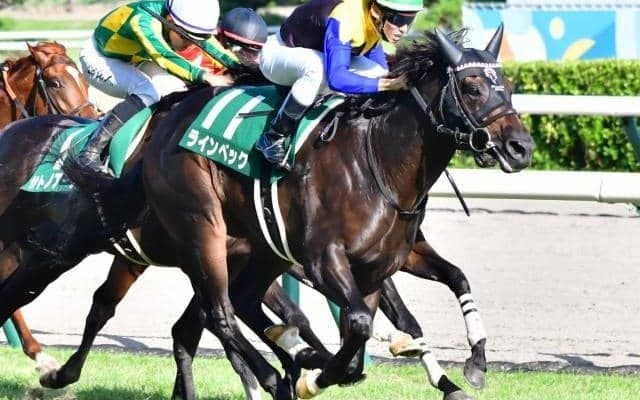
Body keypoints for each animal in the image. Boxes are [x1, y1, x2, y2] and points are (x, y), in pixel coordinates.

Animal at [136, 26, 533, 400]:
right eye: (472, 87)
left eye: (509, 87)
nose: (521, 147)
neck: (379, 162)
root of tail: (170, 116)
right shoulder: (322, 259)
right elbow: (358, 324)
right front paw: (315, 378)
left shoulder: (381, 264)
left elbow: (450, 281)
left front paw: (472, 364)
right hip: (203, 230)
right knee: (220, 314)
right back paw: (280, 372)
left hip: (263, 247)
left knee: (240, 301)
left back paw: (294, 351)